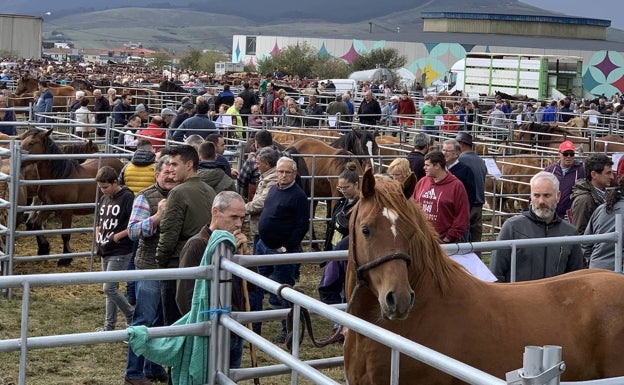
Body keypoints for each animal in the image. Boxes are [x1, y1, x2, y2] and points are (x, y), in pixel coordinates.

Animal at [21, 127, 123, 266]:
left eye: (31, 143)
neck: (59, 177)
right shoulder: (48, 205)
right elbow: (36, 225)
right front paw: (43, 249)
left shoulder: (66, 211)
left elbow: (65, 235)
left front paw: (65, 258)